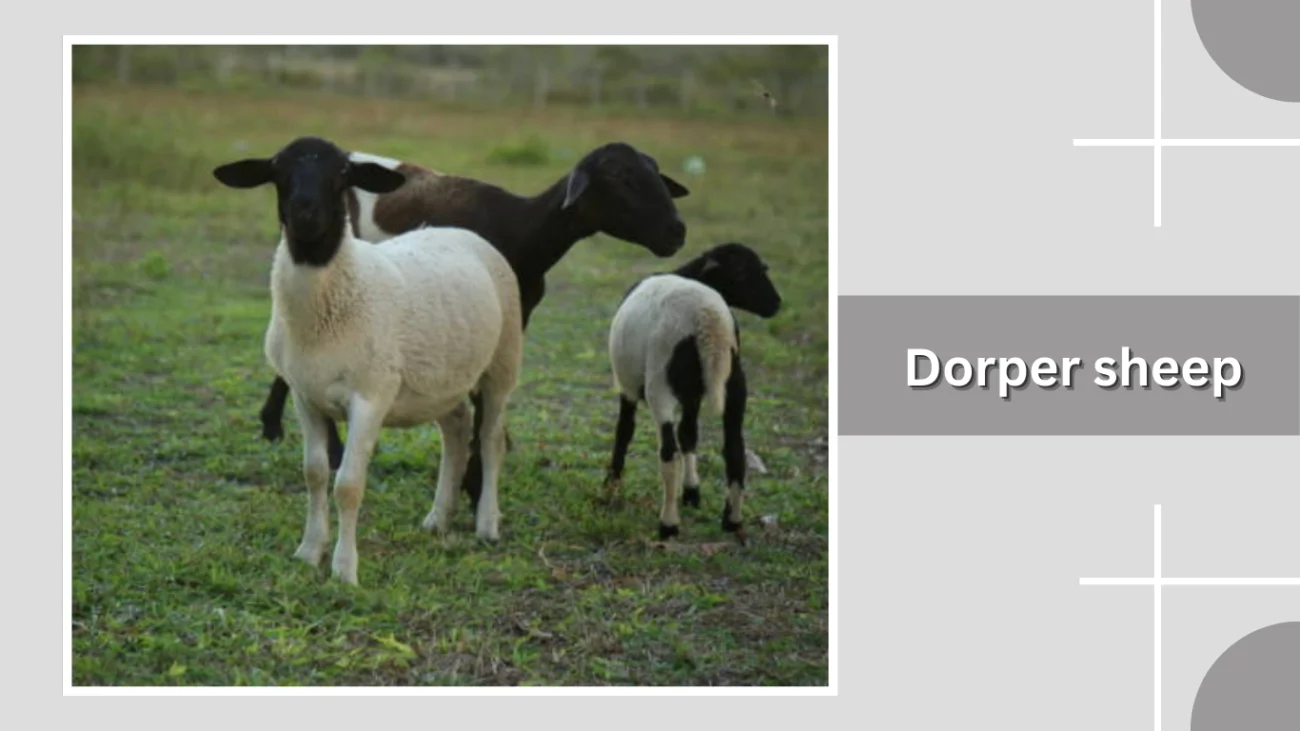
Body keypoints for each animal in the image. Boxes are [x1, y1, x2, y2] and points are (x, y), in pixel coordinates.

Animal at [212, 136, 524, 586]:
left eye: (343, 173)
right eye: (277, 171)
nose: (305, 214)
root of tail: (458, 231)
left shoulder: (370, 397)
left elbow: (348, 484)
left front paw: (344, 571)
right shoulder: (305, 396)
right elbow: (314, 473)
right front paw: (309, 552)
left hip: (503, 360)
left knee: (490, 437)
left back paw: (487, 525)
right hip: (440, 378)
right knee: (456, 428)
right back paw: (438, 518)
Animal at [256, 141, 691, 513]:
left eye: (656, 172)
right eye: (619, 177)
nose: (677, 231)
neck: (525, 230)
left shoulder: (515, 312)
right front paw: (474, 484)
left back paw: (278, 425)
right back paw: (307, 437)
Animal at [603, 242, 782, 542]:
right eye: (744, 273)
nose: (776, 304)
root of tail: (707, 318)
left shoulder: (627, 386)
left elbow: (624, 432)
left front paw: (611, 485)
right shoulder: (693, 396)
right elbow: (689, 435)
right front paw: (692, 492)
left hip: (659, 383)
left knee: (668, 453)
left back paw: (668, 524)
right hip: (735, 383)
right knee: (734, 449)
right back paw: (732, 520)